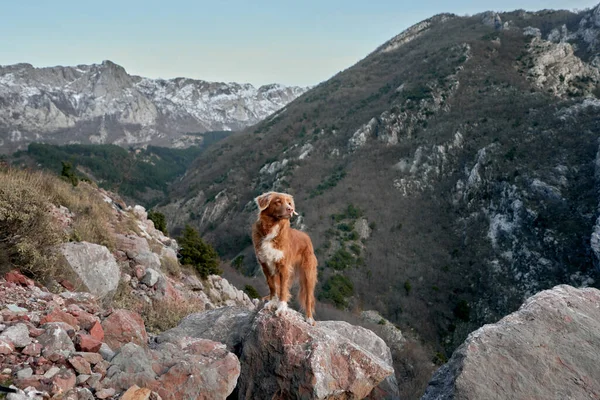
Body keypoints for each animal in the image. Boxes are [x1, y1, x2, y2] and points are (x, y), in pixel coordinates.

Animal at [251, 191, 318, 324]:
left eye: (289, 203)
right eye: (278, 201)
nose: (290, 209)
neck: (272, 227)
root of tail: (306, 236)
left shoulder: (284, 267)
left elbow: (283, 290)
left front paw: (281, 308)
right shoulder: (266, 266)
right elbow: (273, 287)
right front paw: (272, 302)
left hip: (308, 274)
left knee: (308, 298)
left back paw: (309, 318)